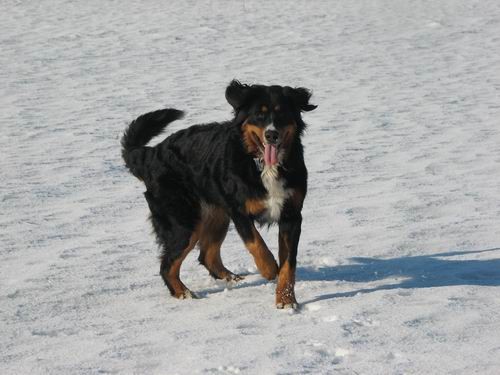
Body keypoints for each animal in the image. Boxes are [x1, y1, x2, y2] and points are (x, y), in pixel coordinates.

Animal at [121, 81, 316, 310]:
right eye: (259, 115)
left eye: (282, 113)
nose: (271, 134)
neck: (263, 165)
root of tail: (151, 154)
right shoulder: (238, 211)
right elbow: (257, 244)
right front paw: (269, 270)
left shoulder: (291, 215)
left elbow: (288, 264)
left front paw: (286, 300)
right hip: (184, 221)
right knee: (167, 265)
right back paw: (184, 293)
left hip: (216, 216)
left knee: (207, 256)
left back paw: (234, 279)